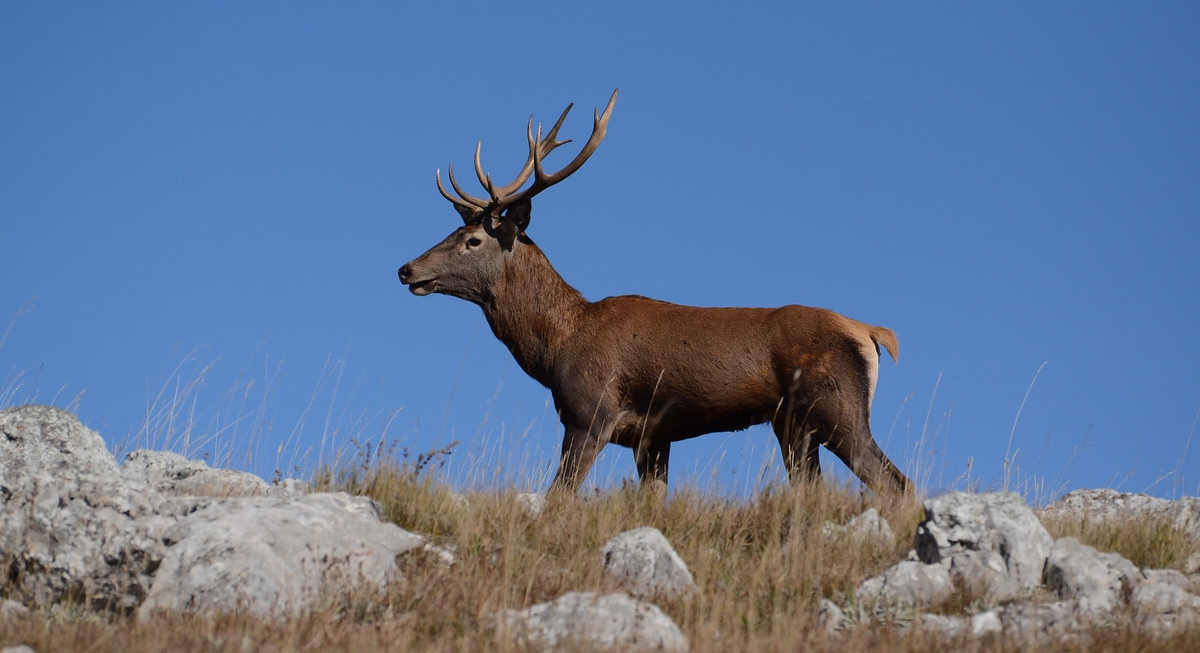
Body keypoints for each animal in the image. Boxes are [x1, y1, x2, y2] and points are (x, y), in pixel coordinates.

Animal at [398, 90, 912, 499]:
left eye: (472, 240)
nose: (406, 269)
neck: (556, 346)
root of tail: (870, 332)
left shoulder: (590, 414)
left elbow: (559, 496)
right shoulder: (653, 438)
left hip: (837, 406)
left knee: (896, 483)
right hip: (792, 425)